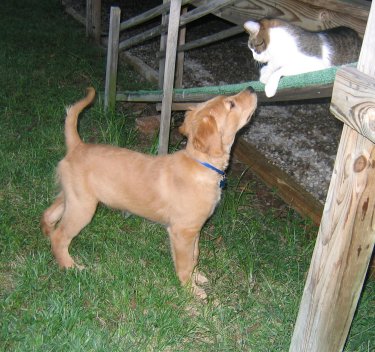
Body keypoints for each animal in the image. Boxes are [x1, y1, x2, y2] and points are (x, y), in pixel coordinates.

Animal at [41, 86, 258, 298]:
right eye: (231, 104)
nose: (251, 88)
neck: (201, 163)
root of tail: (77, 146)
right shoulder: (183, 231)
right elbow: (185, 263)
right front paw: (191, 289)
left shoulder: (195, 229)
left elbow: (195, 256)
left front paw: (197, 277)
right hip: (83, 207)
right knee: (61, 236)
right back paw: (71, 267)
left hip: (74, 196)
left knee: (49, 215)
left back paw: (47, 236)